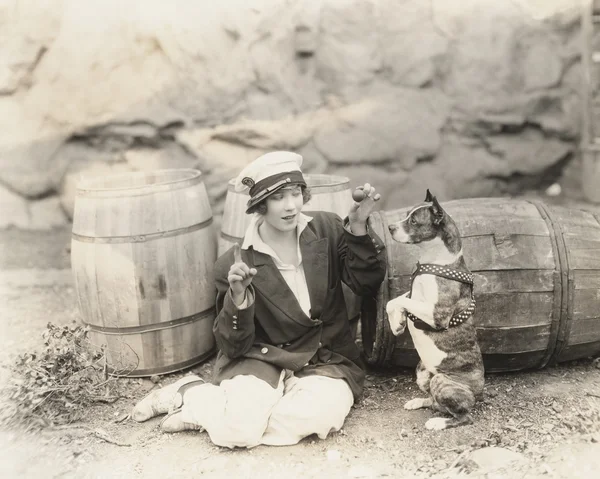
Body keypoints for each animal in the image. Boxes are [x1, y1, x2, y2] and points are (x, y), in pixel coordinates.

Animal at [386, 190, 486, 432]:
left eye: (414, 221)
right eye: (406, 214)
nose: (390, 227)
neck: (437, 261)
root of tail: (478, 393)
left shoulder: (437, 313)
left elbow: (405, 303)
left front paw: (400, 321)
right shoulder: (412, 294)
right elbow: (393, 301)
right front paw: (397, 323)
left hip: (442, 381)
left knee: (464, 416)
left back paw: (439, 422)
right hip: (423, 374)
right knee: (434, 401)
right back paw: (419, 402)